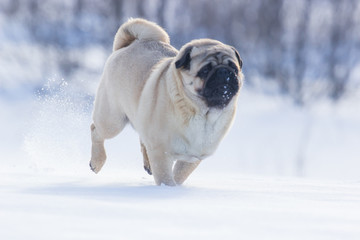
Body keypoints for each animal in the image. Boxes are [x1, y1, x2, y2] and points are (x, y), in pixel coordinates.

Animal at [89, 17, 245, 187]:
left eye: (234, 68)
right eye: (205, 70)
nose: (223, 72)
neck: (202, 113)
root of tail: (130, 44)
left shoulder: (193, 157)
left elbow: (179, 175)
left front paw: (174, 188)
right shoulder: (161, 152)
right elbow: (165, 176)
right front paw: (168, 189)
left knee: (143, 140)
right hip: (112, 121)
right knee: (96, 130)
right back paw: (97, 162)